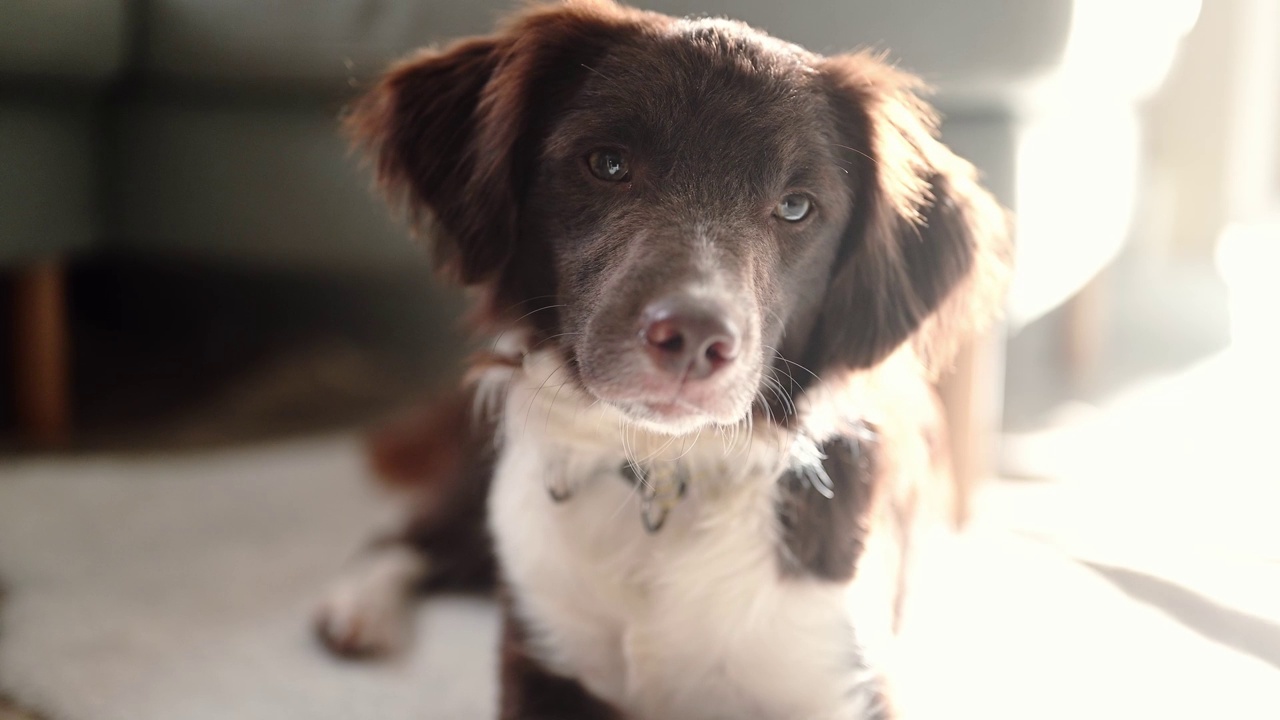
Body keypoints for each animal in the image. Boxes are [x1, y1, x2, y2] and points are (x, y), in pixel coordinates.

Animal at [312, 2, 1008, 712]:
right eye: (608, 164)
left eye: (795, 207)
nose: (696, 341)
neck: (664, 469)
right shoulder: (541, 650)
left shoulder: (841, 681)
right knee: (412, 534)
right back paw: (358, 607)